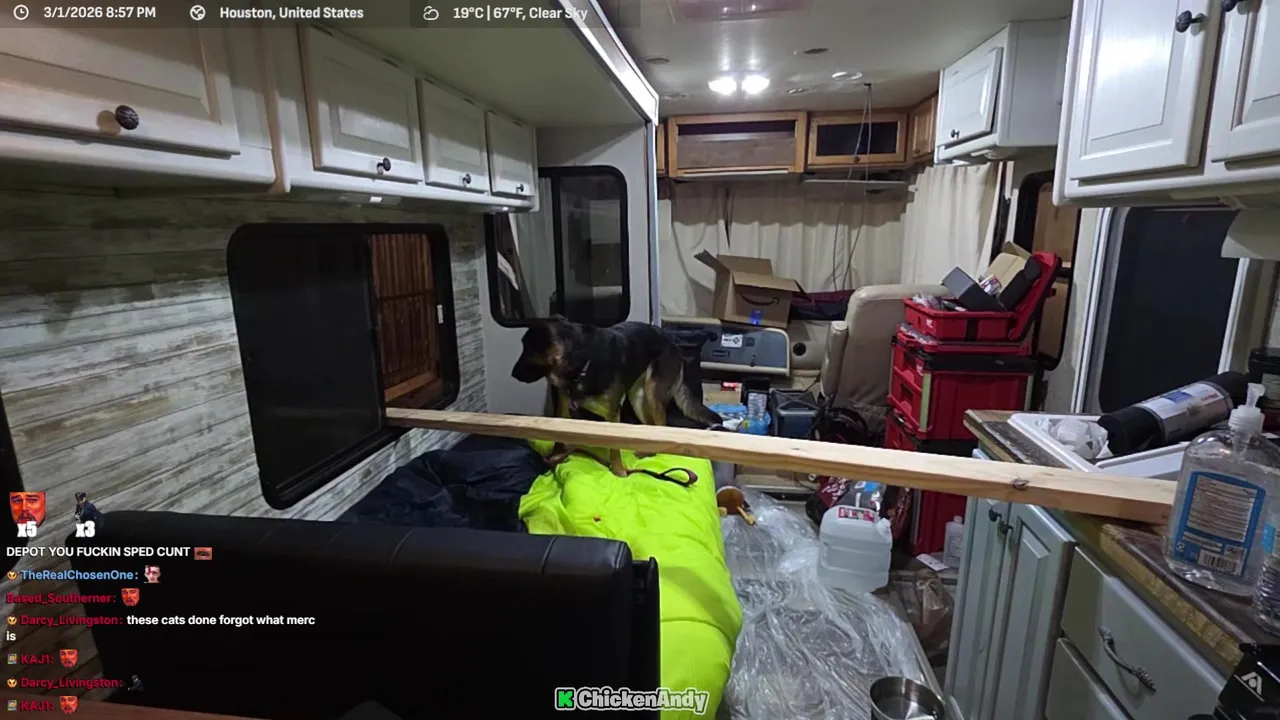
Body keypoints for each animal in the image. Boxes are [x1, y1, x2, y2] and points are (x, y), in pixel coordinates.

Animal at [511, 316, 722, 476]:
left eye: (527, 350)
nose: (512, 374)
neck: (582, 362)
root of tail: (672, 341)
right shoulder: (563, 407)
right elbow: (557, 437)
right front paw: (556, 458)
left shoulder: (612, 414)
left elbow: (614, 446)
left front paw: (619, 470)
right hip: (638, 399)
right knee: (649, 426)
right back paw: (646, 453)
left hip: (652, 394)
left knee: (661, 426)